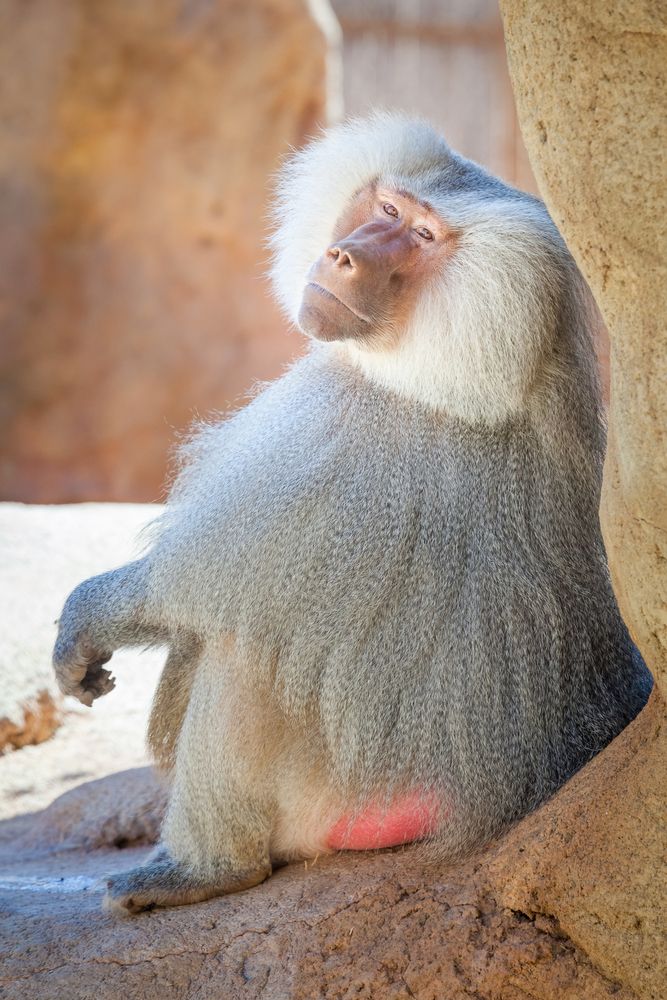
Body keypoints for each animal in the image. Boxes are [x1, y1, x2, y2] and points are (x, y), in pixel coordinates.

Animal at [53, 113, 651, 914]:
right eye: (387, 208)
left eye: (423, 236)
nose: (341, 254)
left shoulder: (355, 447)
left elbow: (199, 586)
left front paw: (90, 615)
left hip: (351, 789)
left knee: (246, 656)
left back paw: (203, 872)